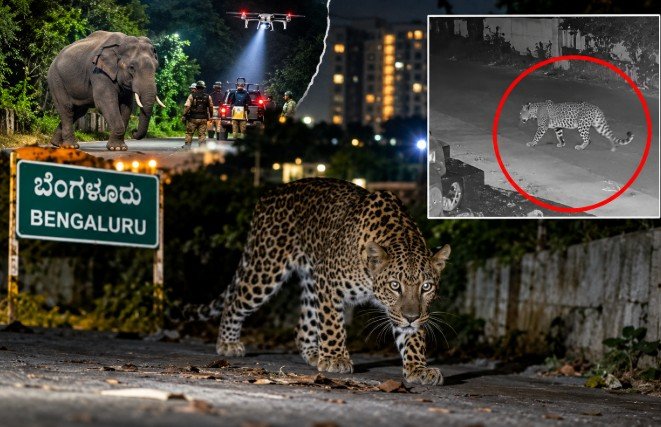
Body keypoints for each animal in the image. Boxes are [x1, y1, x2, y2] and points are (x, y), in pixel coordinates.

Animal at [214, 178, 451, 385]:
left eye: (426, 287)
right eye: (395, 285)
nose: (411, 318)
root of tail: (269, 194)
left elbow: (412, 337)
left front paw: (418, 369)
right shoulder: (328, 281)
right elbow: (332, 324)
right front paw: (335, 358)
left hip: (310, 281)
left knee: (302, 327)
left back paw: (314, 354)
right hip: (267, 269)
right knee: (234, 302)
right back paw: (228, 343)